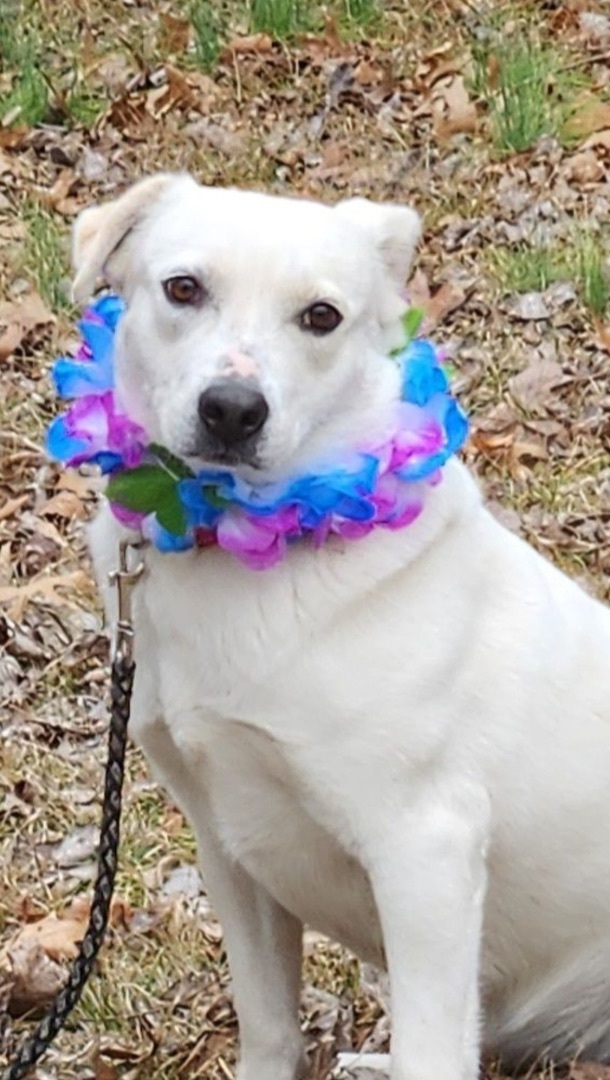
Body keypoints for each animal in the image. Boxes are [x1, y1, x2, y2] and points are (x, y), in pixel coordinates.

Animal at [72, 177, 610, 1080]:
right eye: (183, 288)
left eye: (321, 315)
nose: (232, 410)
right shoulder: (231, 844)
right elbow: (268, 1028)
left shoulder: (426, 851)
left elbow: (429, 1052)